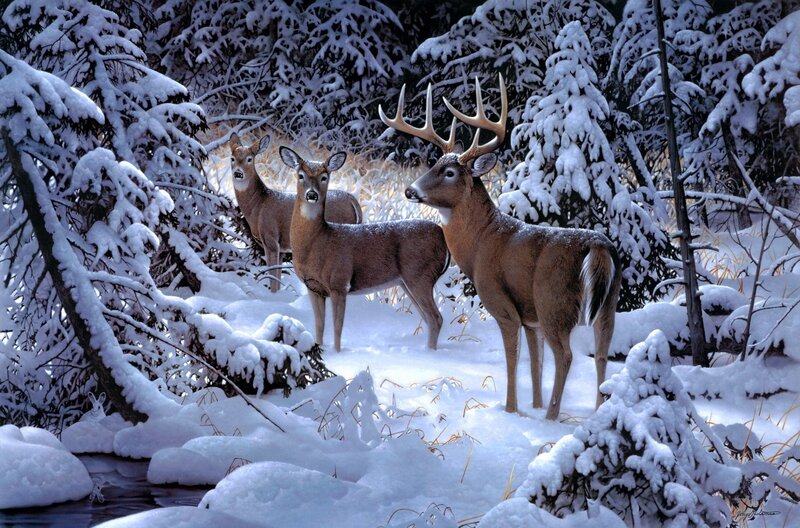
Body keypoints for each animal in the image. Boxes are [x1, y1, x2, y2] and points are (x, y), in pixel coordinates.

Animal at [229, 133, 363, 292]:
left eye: (250, 159)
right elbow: (277, 277)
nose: (238, 173)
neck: (258, 205)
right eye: (232, 158)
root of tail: (353, 200)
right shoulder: (281, 249)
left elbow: (272, 277)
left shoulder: (271, 239)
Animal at [279, 146, 449, 352]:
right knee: (429, 319)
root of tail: (443, 238)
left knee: (436, 318)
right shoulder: (313, 287)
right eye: (300, 175)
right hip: (407, 282)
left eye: (324, 176)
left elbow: (337, 327)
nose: (312, 195)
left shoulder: (339, 282)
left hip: (421, 275)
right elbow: (320, 325)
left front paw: (337, 354)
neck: (316, 242)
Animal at [379, 75, 621, 420]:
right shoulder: (530, 316)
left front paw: (511, 410)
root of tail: (598, 245)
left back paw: (551, 418)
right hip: (607, 304)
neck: (482, 241)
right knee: (601, 355)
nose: (410, 190)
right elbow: (535, 363)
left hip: (554, 302)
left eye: (449, 172)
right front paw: (533, 404)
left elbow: (513, 360)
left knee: (566, 356)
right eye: (433, 164)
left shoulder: (504, 304)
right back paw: (597, 412)